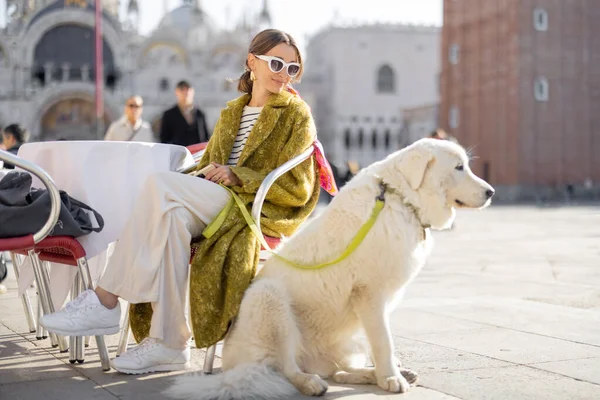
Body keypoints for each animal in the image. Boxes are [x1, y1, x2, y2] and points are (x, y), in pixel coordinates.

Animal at [166, 139, 494, 398]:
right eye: (459, 167)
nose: (491, 192)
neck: (399, 198)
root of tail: (235, 366)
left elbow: (382, 340)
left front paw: (389, 374)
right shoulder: (370, 293)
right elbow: (383, 341)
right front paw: (391, 378)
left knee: (338, 370)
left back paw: (369, 374)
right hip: (269, 300)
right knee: (287, 368)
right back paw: (312, 383)